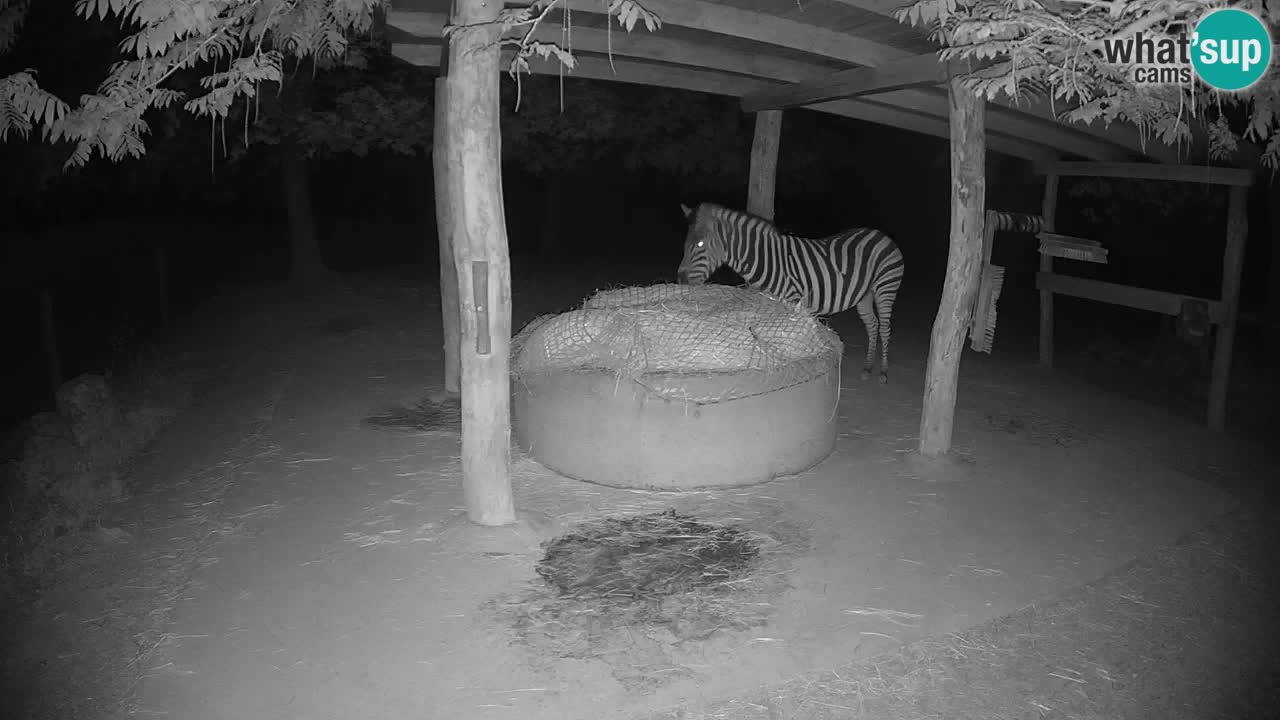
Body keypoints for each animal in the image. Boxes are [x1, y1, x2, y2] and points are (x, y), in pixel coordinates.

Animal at [676, 202, 905, 383]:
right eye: (685, 244)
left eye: (700, 244)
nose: (680, 280)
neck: (765, 260)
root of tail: (880, 234)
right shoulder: (768, 301)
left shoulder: (792, 301)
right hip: (865, 295)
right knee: (872, 325)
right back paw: (868, 368)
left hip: (886, 287)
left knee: (885, 328)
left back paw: (883, 372)